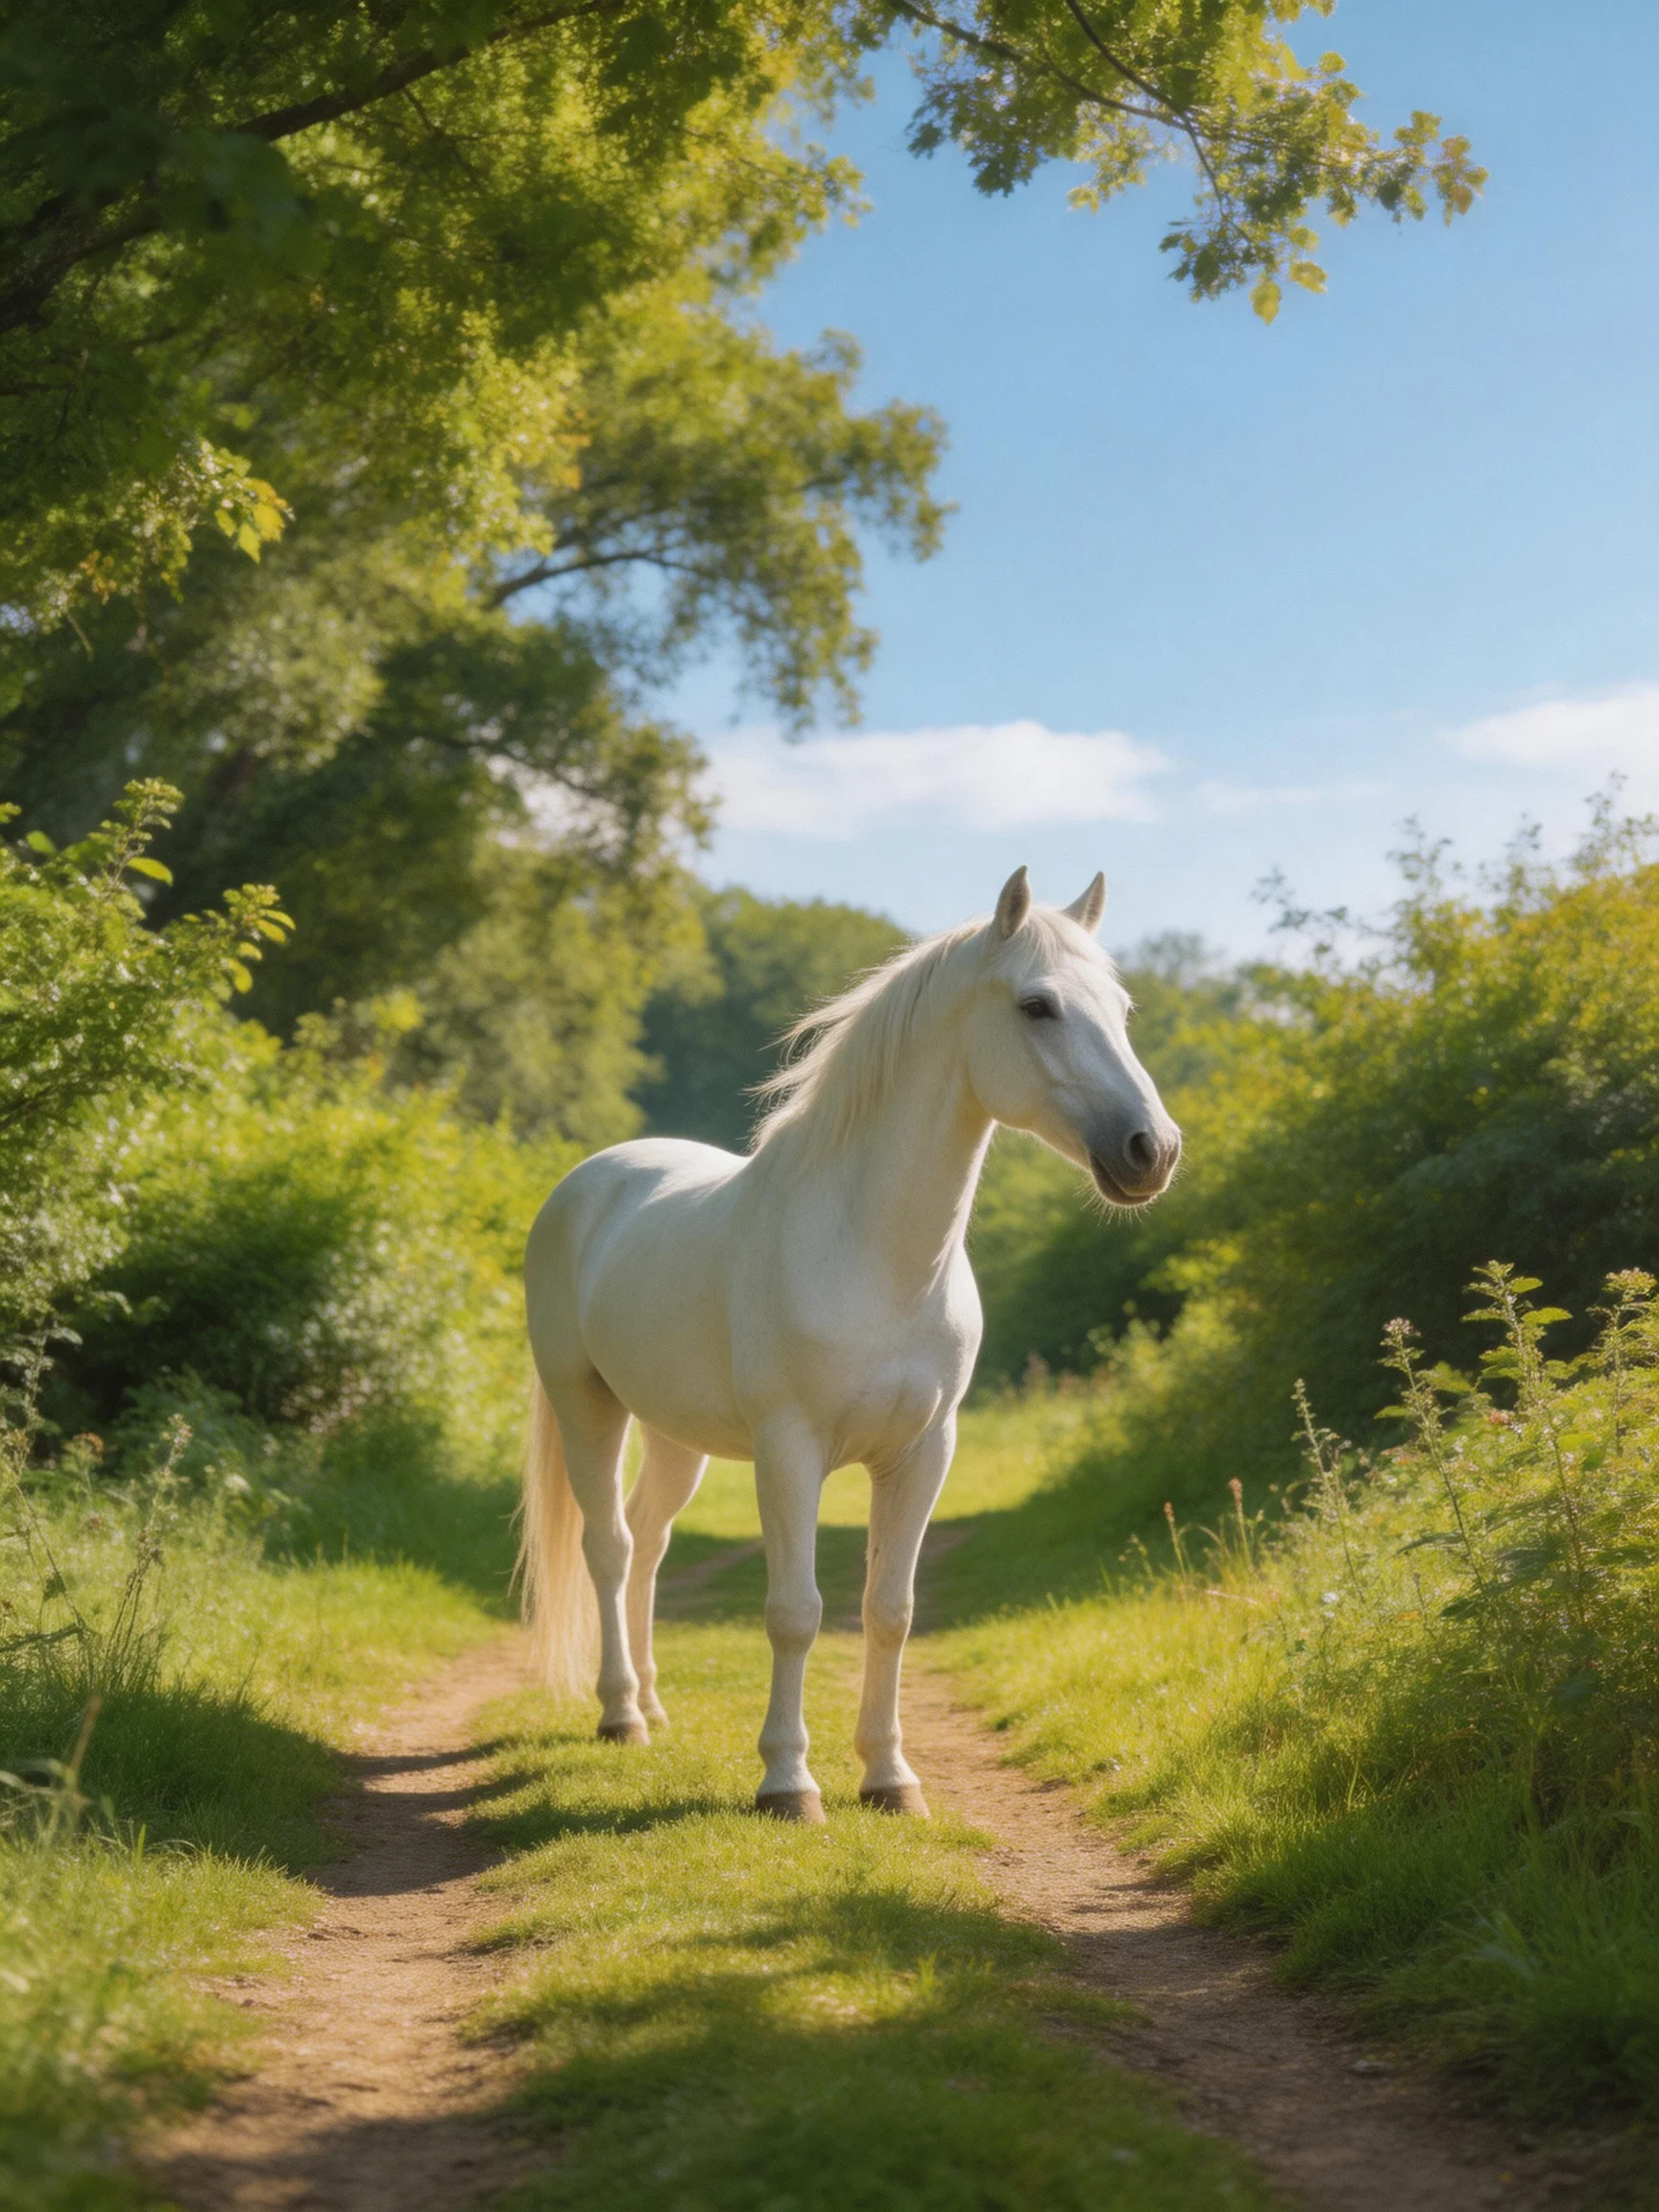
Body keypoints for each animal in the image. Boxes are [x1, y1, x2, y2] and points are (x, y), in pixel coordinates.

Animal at [520, 866, 1181, 1820]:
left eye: (1122, 1009)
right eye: (1038, 1006)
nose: (1151, 1151)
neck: (873, 1255)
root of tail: (589, 1182)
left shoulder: (923, 1451)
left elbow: (888, 1610)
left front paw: (889, 1776)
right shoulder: (789, 1450)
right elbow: (796, 1611)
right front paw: (788, 1782)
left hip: (676, 1435)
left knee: (647, 1541)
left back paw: (652, 1700)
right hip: (587, 1407)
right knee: (608, 1548)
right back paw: (620, 1716)